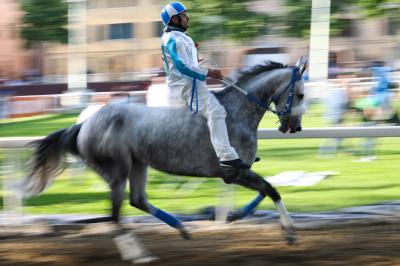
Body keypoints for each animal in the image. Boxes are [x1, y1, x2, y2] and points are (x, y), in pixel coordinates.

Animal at [21, 60, 306, 243]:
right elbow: (271, 189)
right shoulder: (232, 171)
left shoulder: (239, 172)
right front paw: (289, 231)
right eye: (301, 94)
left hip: (138, 164)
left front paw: (235, 215)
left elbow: (265, 190)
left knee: (137, 200)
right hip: (118, 169)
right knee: (116, 213)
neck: (237, 113)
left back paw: (182, 228)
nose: (296, 127)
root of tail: (84, 124)